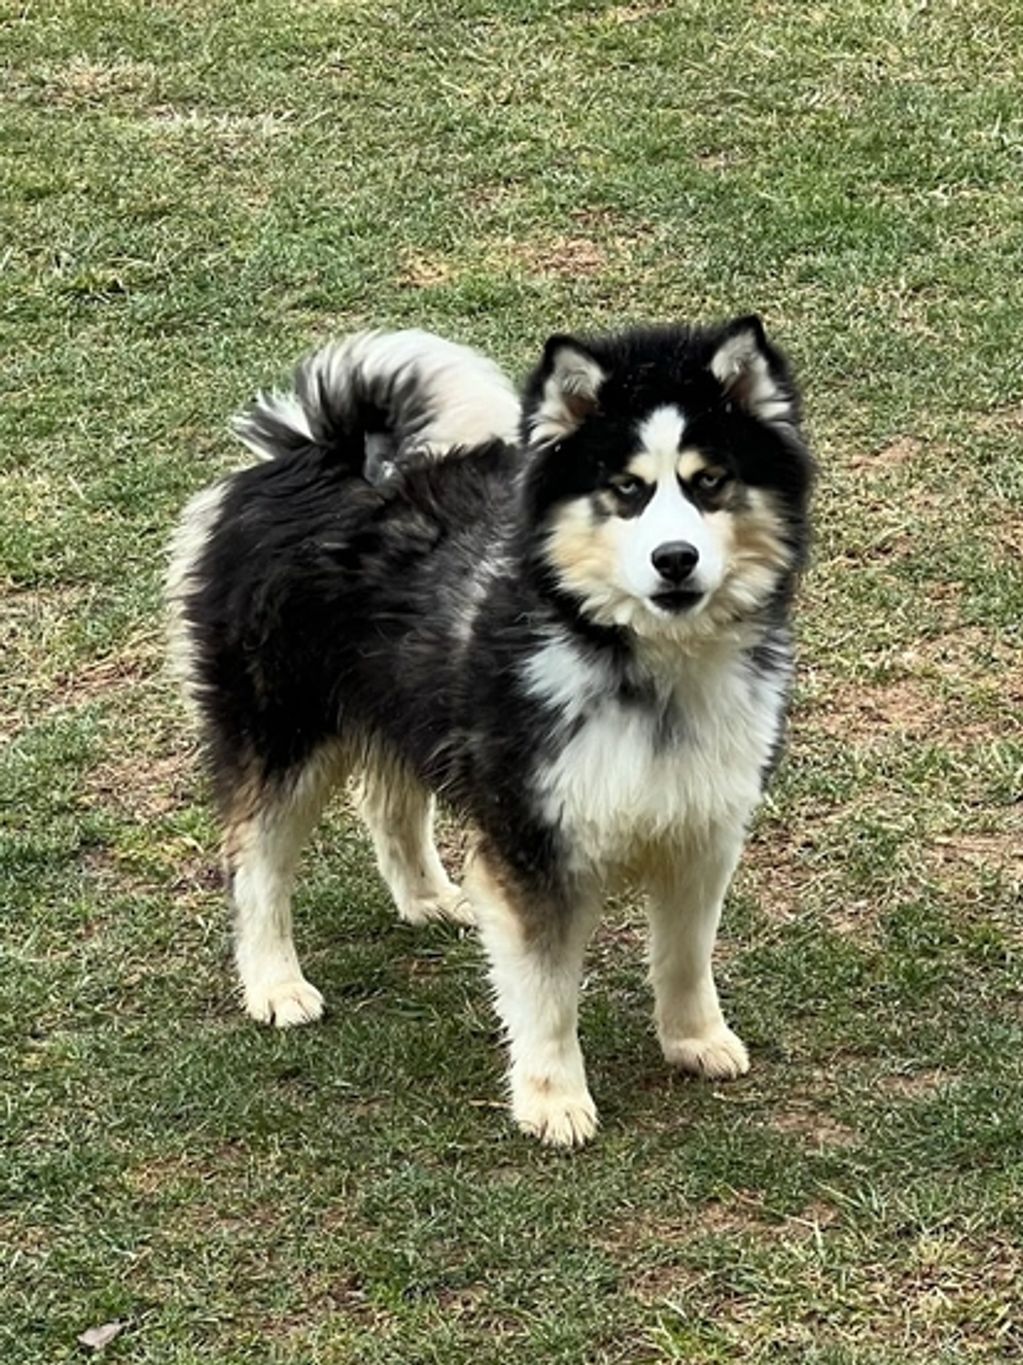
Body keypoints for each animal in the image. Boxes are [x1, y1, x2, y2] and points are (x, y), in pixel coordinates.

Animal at [167, 316, 814, 1141]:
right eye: (626, 490)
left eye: (710, 482)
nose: (675, 559)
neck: (635, 661)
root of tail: (318, 452)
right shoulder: (529, 842)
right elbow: (545, 990)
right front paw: (552, 1097)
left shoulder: (701, 827)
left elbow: (684, 955)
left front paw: (694, 1039)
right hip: (282, 731)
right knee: (255, 865)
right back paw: (275, 983)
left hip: (405, 701)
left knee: (387, 800)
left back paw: (425, 896)